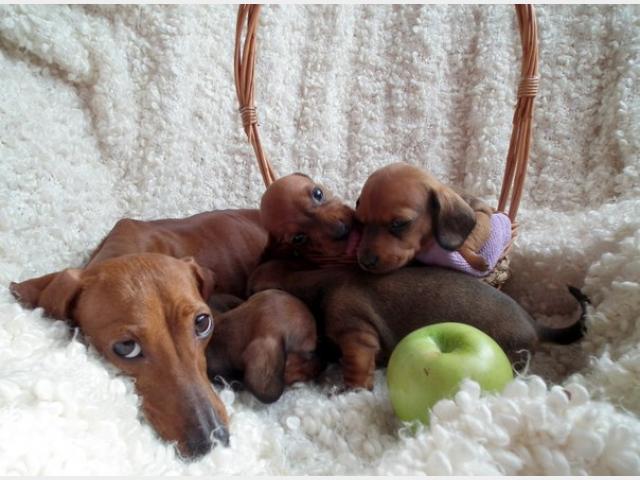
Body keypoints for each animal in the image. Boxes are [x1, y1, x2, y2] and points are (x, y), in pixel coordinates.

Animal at [356, 162, 510, 274]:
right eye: (361, 222)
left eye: (399, 223)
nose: (365, 262)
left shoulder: (482, 216)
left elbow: (466, 243)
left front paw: (475, 260)